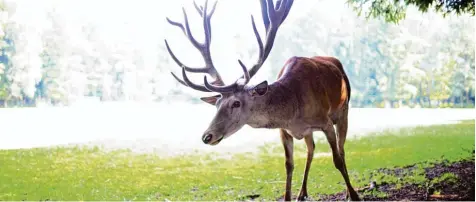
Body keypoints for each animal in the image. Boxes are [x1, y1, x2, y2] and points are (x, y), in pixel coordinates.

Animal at [165, 0, 360, 200]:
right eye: (217, 104)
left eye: (236, 103)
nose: (207, 136)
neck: (294, 111)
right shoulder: (284, 131)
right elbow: (288, 165)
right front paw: (288, 197)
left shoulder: (325, 122)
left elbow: (337, 159)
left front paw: (354, 195)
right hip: (310, 132)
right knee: (310, 150)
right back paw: (302, 192)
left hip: (344, 110)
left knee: (341, 149)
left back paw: (346, 191)